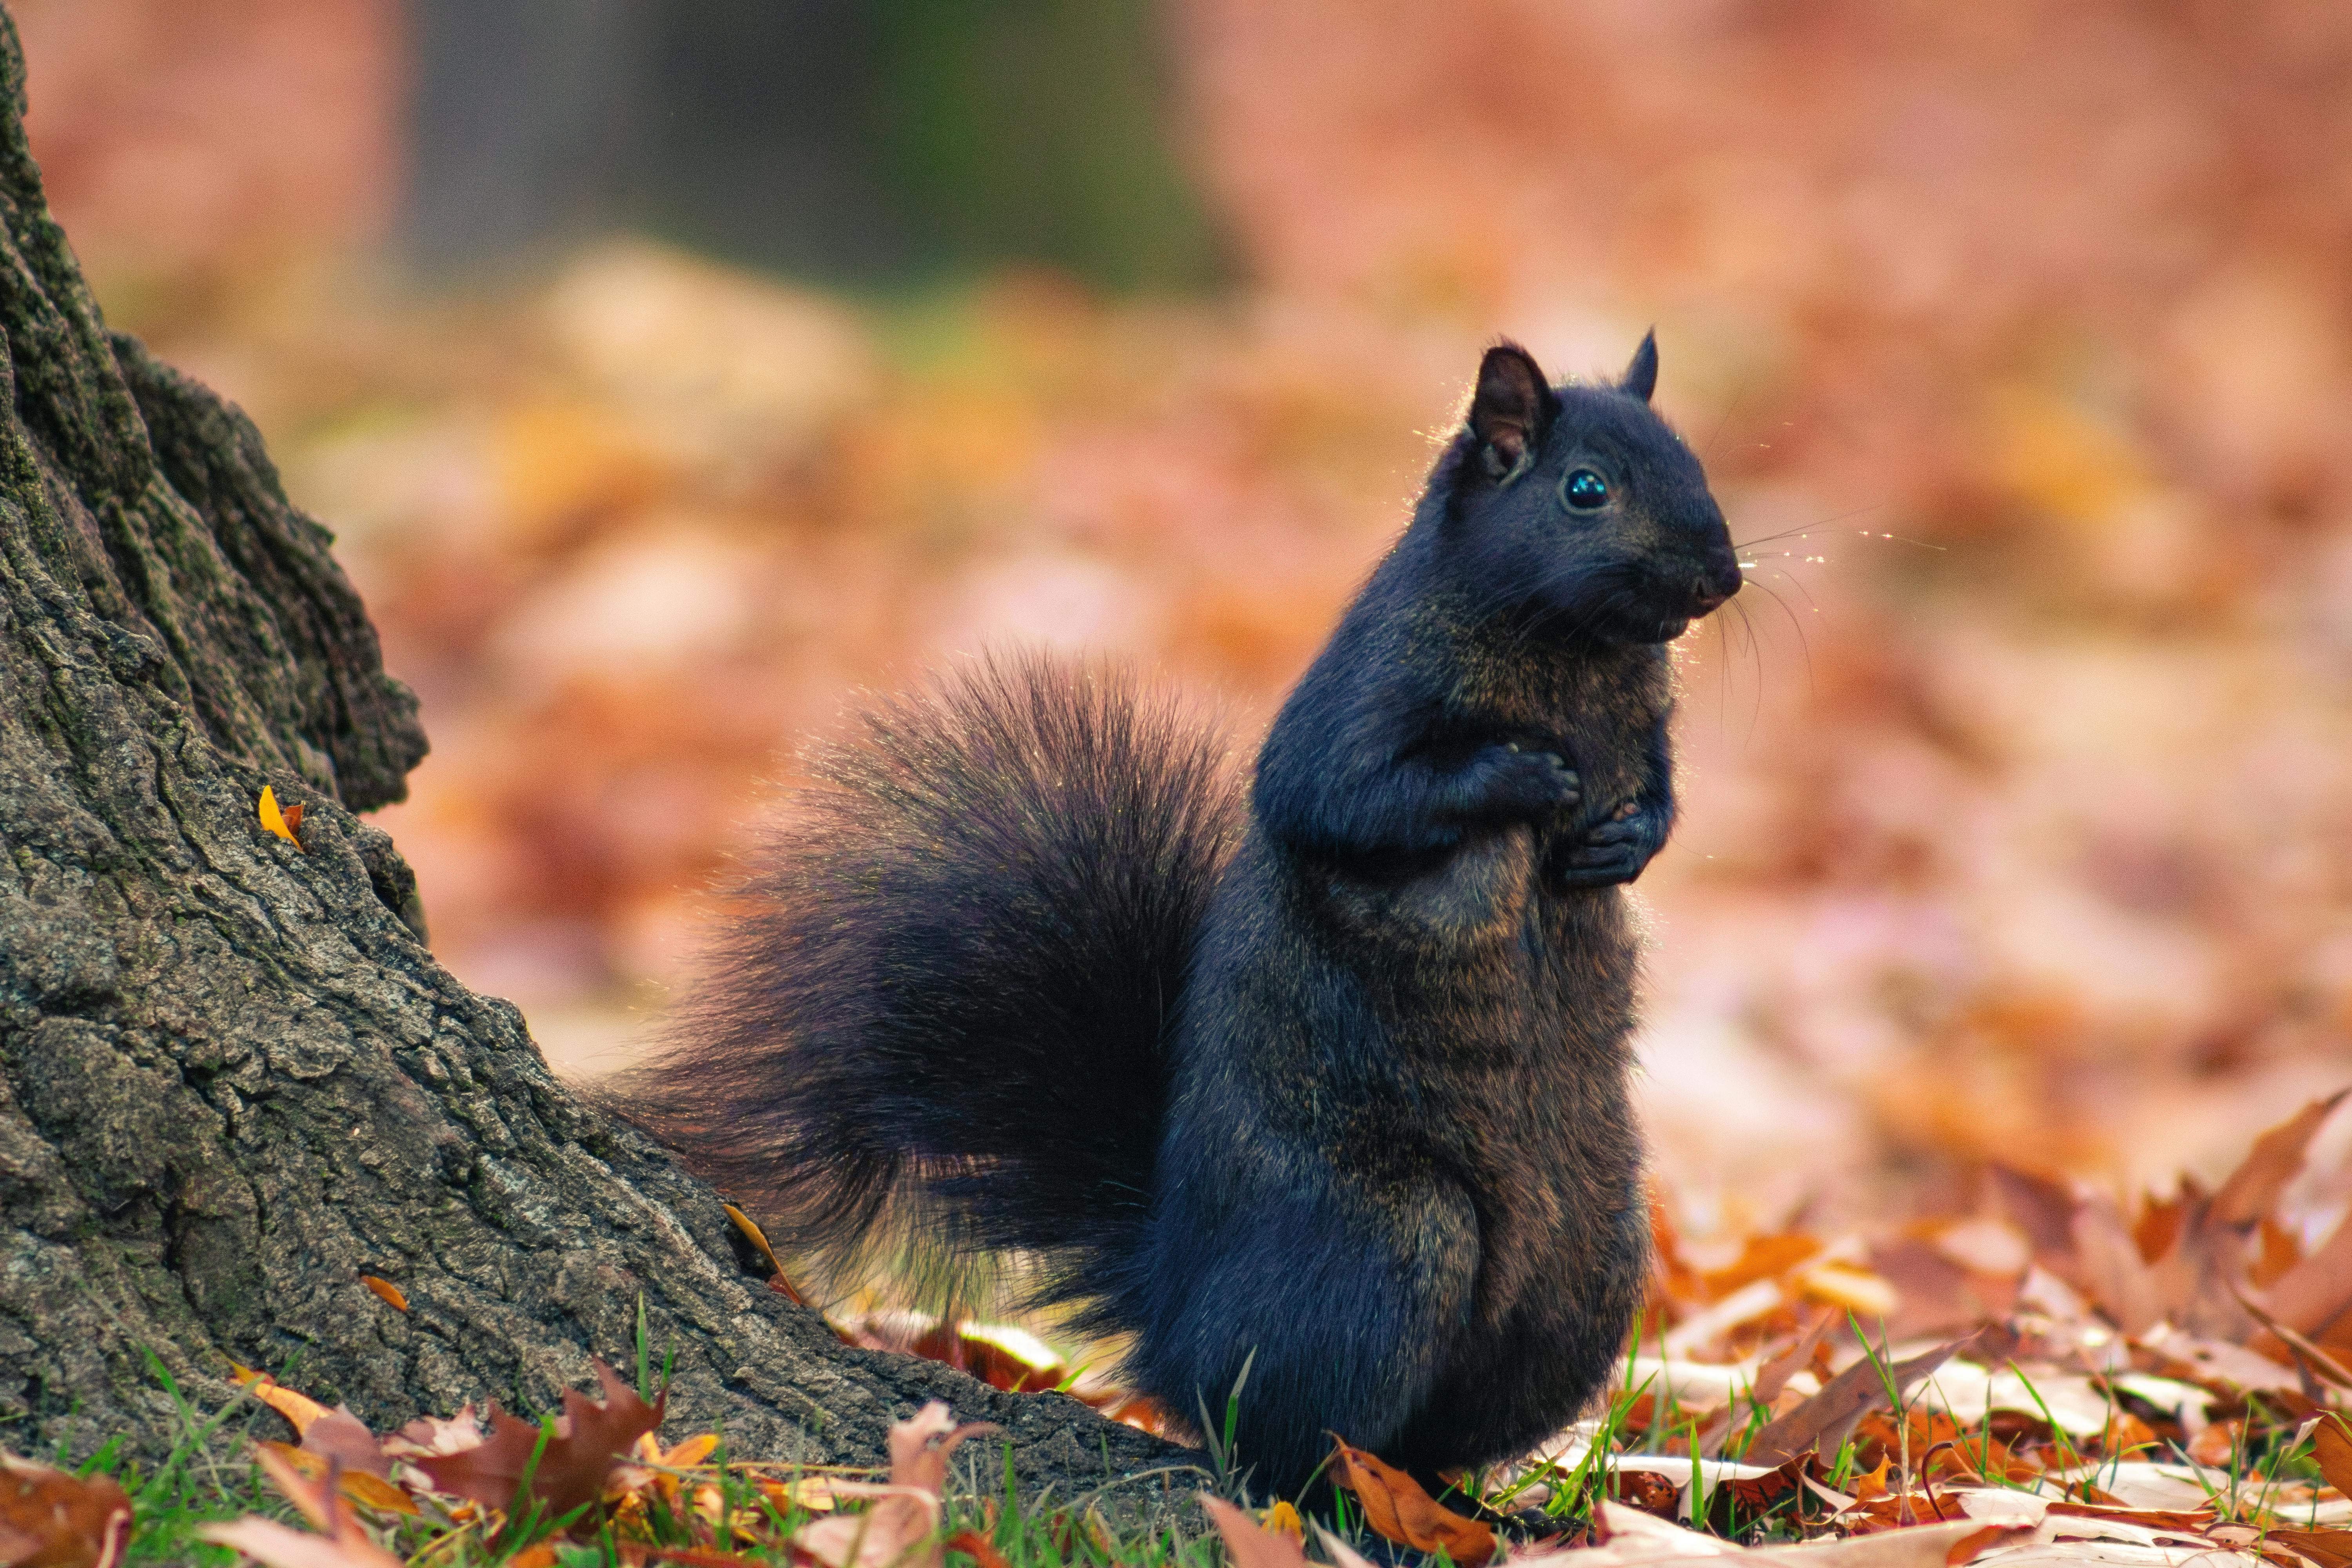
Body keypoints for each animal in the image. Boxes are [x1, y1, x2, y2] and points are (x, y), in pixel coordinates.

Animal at [611, 334, 1743, 1500]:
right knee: (1284, 1437)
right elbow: (1349, 797)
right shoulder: (1360, 700)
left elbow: (1658, 791)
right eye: (1584, 490)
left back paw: (1453, 1506)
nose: (1722, 577)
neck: (1577, 653)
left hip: (1587, 1273)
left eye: (1693, 458)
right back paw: (1355, 1506)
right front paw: (1524, 774)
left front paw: (1628, 839)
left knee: (1426, 1433)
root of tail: (1173, 1316)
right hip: (1386, 1243)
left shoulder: (1644, 731)